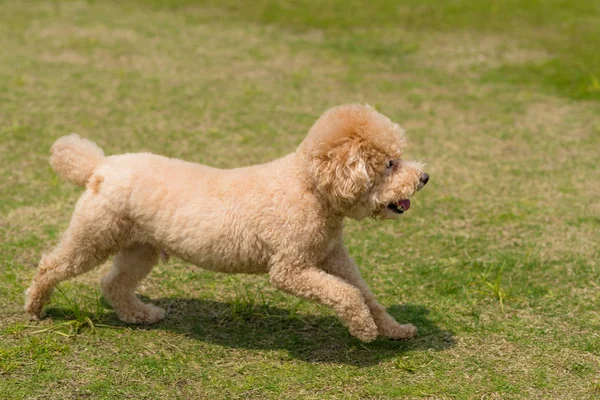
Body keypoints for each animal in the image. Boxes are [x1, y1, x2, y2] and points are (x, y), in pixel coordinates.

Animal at [24, 104, 426, 342]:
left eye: (398, 157)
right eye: (389, 164)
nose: (423, 178)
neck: (309, 187)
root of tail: (100, 166)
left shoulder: (332, 255)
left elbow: (364, 292)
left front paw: (395, 329)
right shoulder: (291, 268)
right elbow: (347, 294)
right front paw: (363, 328)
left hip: (141, 247)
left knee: (114, 283)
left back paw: (139, 313)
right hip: (95, 235)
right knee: (51, 266)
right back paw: (34, 308)